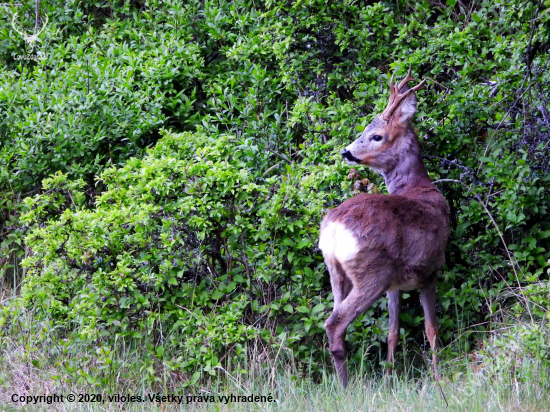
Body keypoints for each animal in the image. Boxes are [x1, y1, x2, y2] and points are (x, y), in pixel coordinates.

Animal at [320, 67, 452, 386]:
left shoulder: (396, 284)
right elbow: (432, 329)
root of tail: (333, 230)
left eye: (376, 135)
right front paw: (438, 377)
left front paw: (390, 378)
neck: (419, 187)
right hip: (372, 272)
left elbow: (393, 332)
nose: (346, 152)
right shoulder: (430, 269)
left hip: (337, 272)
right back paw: (345, 387)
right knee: (335, 323)